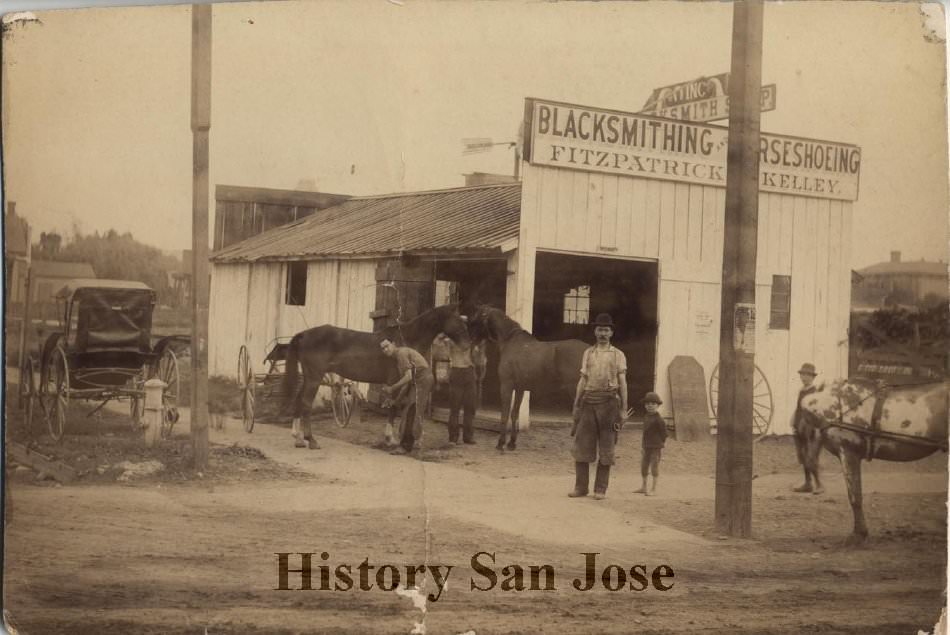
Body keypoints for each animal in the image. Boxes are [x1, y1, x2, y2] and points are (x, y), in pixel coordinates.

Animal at [284, 306, 474, 450]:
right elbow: (394, 408)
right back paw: (311, 439)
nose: (468, 345)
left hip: (309, 377)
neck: (405, 340)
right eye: (457, 320)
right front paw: (391, 439)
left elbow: (404, 407)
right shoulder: (395, 381)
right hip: (314, 378)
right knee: (306, 403)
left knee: (298, 400)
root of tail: (303, 334)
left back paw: (297, 437)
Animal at [466, 304, 588, 450]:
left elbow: (505, 414)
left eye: (477, 318)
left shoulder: (506, 386)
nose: (470, 340)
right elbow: (514, 413)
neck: (510, 341)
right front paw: (512, 443)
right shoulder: (520, 389)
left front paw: (501, 443)